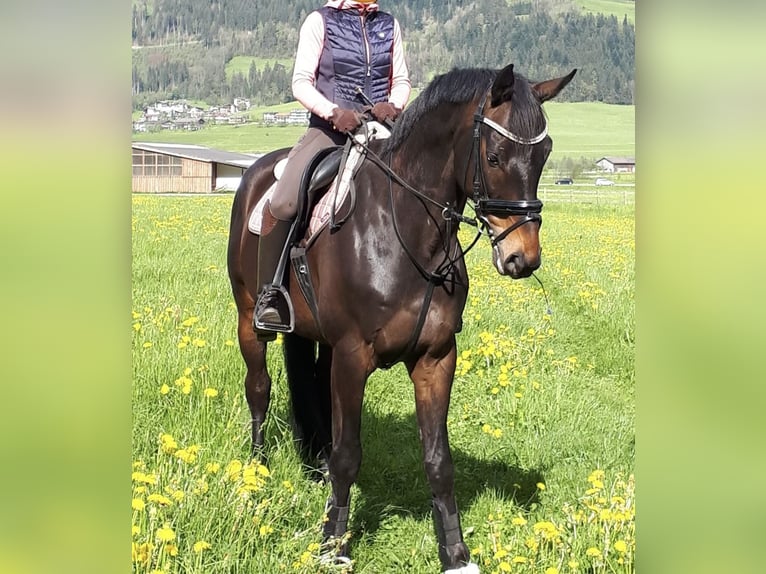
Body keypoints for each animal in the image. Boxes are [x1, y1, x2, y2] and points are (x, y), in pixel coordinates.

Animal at [227, 63, 576, 573]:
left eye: (544, 154)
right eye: (494, 156)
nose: (522, 257)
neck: (405, 234)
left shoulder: (436, 358)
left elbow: (438, 459)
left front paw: (454, 553)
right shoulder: (353, 356)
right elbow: (348, 454)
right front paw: (333, 545)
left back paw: (314, 466)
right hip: (250, 318)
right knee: (259, 389)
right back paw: (256, 472)